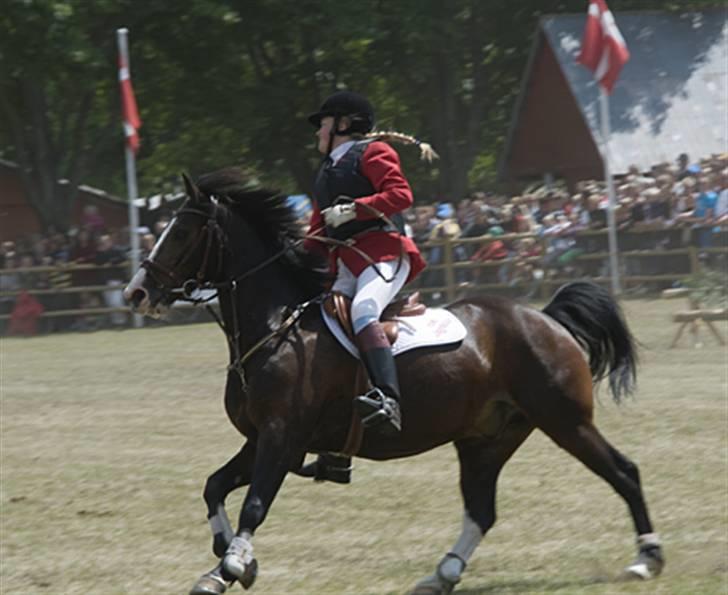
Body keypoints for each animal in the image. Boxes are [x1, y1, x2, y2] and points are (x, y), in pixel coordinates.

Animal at [122, 169, 664, 595]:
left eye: (182, 233)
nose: (135, 292)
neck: (276, 326)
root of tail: (544, 318)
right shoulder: (260, 440)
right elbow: (214, 486)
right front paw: (226, 559)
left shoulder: (282, 437)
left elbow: (254, 504)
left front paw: (233, 564)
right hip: (486, 439)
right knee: (482, 509)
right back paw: (442, 575)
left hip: (565, 420)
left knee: (624, 472)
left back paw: (646, 557)